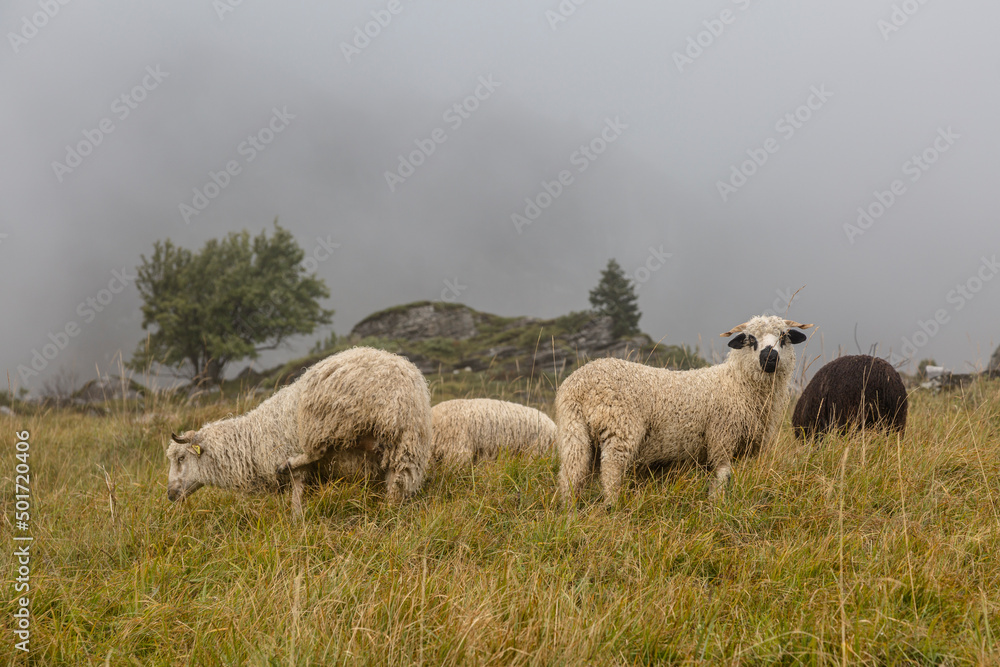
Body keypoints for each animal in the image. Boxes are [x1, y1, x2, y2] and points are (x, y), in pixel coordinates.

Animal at [166, 346, 432, 515]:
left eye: (181, 458)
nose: (169, 494)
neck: (251, 442)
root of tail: (397, 390)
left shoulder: (300, 471)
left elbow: (296, 496)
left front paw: (296, 522)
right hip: (406, 449)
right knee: (396, 486)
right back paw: (389, 511)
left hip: (329, 419)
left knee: (316, 450)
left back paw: (287, 463)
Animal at [556, 315, 812, 505]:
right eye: (751, 339)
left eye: (784, 337)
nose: (770, 357)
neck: (737, 384)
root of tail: (580, 384)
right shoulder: (722, 438)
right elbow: (723, 477)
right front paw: (717, 505)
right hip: (619, 429)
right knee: (610, 471)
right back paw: (612, 505)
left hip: (574, 432)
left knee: (571, 473)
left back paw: (570, 511)